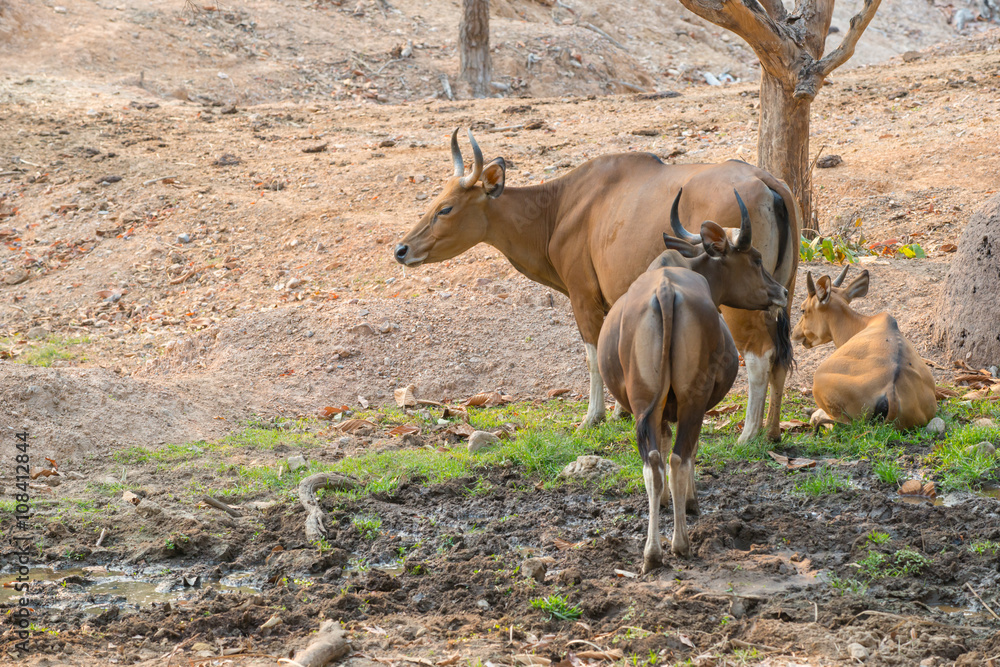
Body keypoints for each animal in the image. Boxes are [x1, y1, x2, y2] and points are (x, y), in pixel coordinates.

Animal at [596, 190, 784, 572]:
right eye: (756, 259)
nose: (781, 291)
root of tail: (666, 293)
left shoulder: (661, 409)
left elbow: (664, 447)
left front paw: (667, 503)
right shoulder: (690, 405)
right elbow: (692, 450)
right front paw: (691, 502)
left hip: (644, 402)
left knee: (653, 463)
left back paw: (652, 553)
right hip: (693, 399)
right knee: (679, 458)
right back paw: (680, 544)